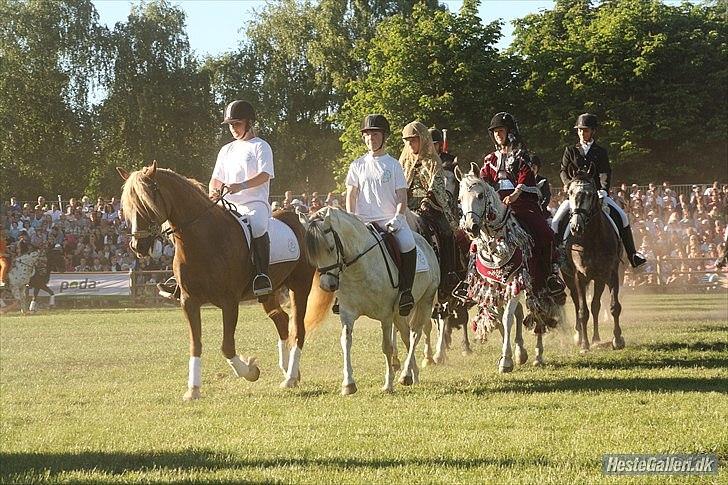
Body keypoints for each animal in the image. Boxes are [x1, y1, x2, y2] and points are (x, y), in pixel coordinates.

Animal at [306, 207, 440, 394]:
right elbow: (345, 341)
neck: (358, 268)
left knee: (415, 334)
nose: (327, 285)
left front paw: (388, 384)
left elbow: (387, 347)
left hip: (425, 302)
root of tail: (426, 243)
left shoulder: (385, 316)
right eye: (312, 254)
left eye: (331, 248)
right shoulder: (347, 313)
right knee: (406, 335)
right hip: (399, 313)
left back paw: (406, 374)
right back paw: (412, 374)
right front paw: (348, 384)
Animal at [556, 170, 624, 352]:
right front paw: (584, 345)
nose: (576, 227)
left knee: (595, 305)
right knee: (577, 304)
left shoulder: (610, 274)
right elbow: (582, 311)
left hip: (599, 280)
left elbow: (614, 306)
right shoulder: (579, 277)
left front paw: (617, 339)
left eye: (591, 194)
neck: (591, 238)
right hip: (570, 279)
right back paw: (579, 336)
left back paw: (596, 338)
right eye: (570, 193)